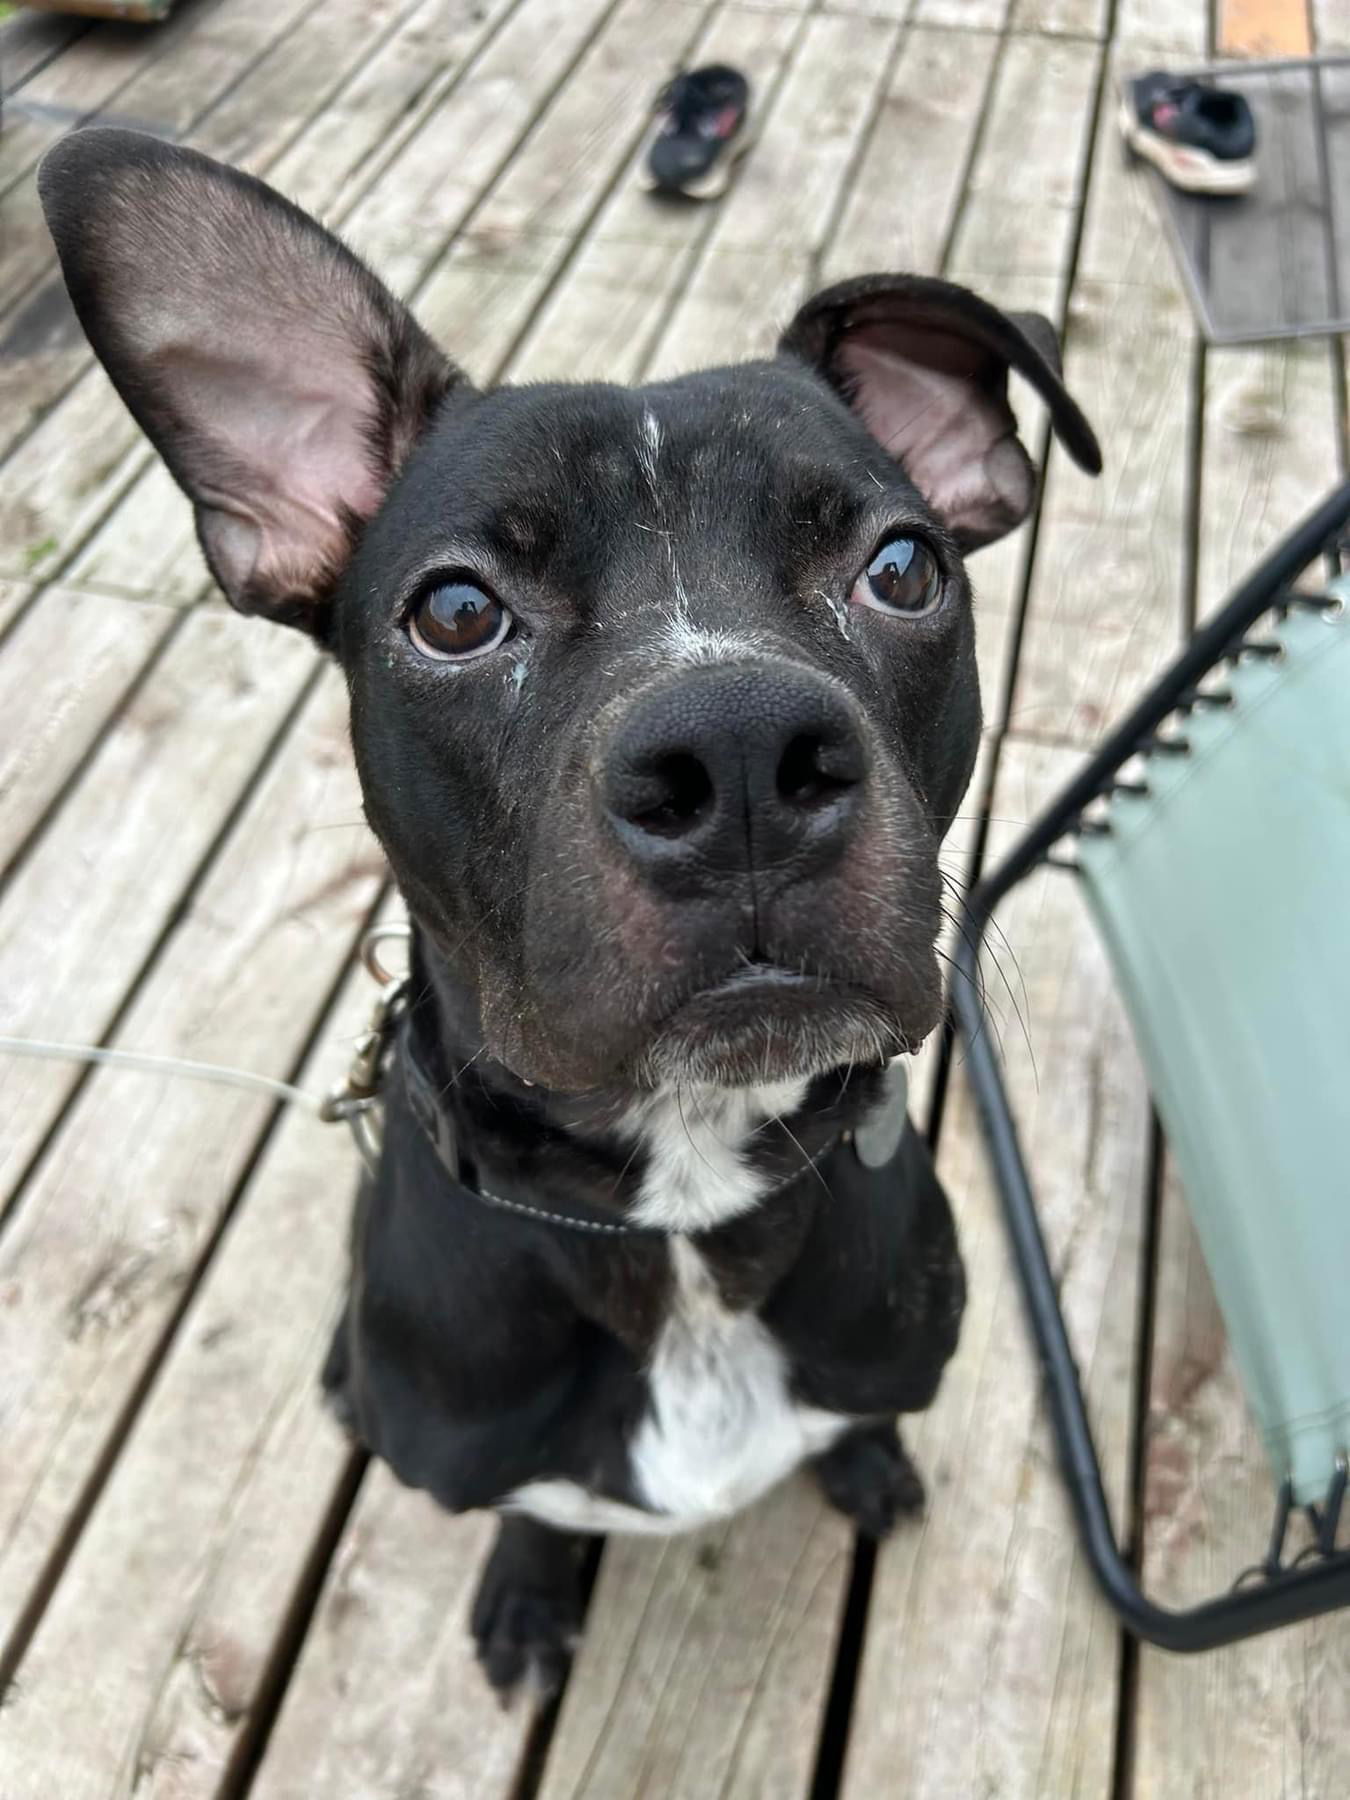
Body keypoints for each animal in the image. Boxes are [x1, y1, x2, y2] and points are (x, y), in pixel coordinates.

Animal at [39, 126, 1101, 1699]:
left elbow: (856, 1415)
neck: (682, 1199)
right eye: (456, 613)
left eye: (903, 568)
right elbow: (538, 1508)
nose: (738, 753)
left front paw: (863, 1463)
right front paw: (532, 1592)